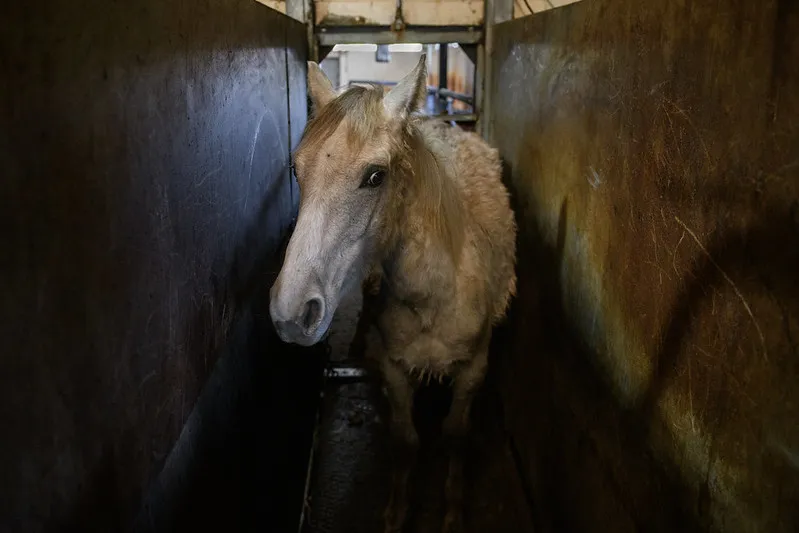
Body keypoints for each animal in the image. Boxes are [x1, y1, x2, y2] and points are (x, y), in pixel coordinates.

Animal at [269, 55, 517, 533]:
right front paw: (398, 511)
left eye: (375, 176)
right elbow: (406, 441)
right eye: (297, 170)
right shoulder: (396, 368)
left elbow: (455, 436)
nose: (291, 313)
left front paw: (453, 510)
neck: (434, 298)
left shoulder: (474, 368)